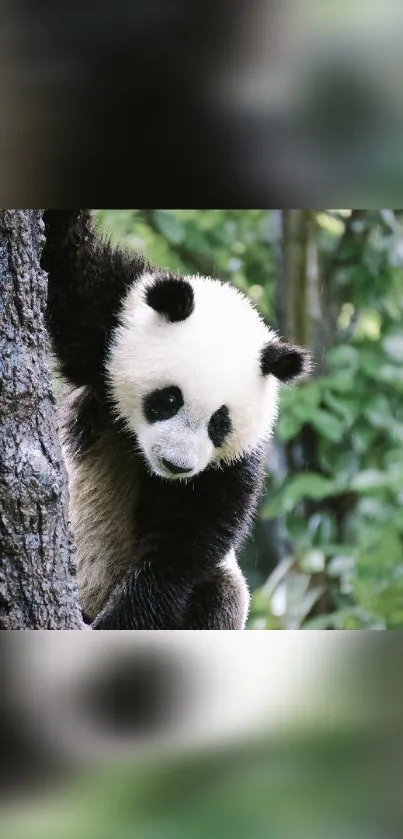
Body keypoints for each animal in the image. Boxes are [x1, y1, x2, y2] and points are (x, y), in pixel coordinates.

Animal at [41, 210, 312, 632]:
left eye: (220, 423)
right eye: (168, 399)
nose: (176, 465)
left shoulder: (229, 466)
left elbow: (184, 544)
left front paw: (119, 623)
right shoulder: (109, 319)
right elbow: (66, 262)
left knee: (219, 594)